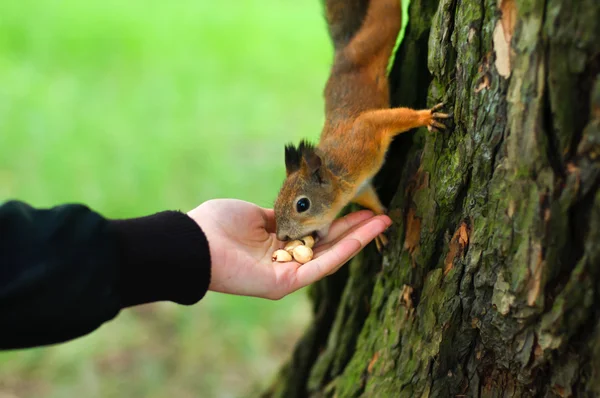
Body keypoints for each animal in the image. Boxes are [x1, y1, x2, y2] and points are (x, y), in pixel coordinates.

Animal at [274, 0, 448, 250]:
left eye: (302, 205)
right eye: (276, 200)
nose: (282, 237)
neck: (340, 179)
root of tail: (342, 52)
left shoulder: (364, 134)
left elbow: (386, 119)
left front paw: (425, 118)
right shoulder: (361, 188)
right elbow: (371, 200)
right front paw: (379, 223)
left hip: (375, 36)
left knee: (385, 13)